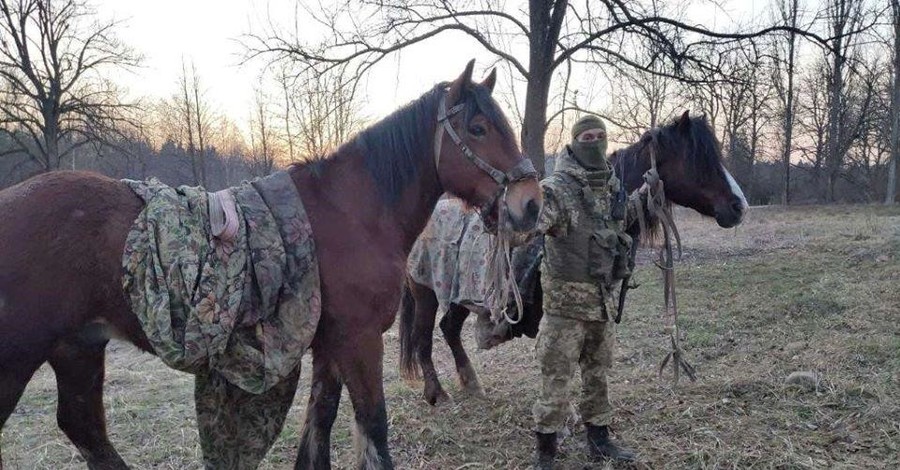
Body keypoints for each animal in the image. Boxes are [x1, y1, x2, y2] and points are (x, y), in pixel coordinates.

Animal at [0, 62, 540, 470]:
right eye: (478, 129)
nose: (530, 204)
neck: (352, 212)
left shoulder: (329, 344)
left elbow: (319, 424)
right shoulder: (359, 341)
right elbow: (373, 426)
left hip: (79, 346)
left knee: (84, 428)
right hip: (22, 356)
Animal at [400, 112, 744, 406]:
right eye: (699, 160)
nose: (738, 206)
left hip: (459, 295)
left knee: (449, 328)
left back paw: (471, 384)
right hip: (426, 293)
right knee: (423, 339)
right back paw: (437, 393)